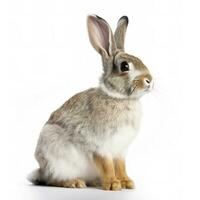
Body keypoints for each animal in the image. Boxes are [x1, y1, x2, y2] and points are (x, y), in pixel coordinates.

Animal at [27, 14, 153, 191]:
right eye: (124, 66)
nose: (150, 80)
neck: (118, 98)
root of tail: (41, 170)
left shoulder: (121, 151)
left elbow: (121, 166)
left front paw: (127, 182)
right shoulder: (99, 146)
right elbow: (107, 165)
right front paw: (113, 184)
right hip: (56, 156)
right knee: (53, 179)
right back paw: (74, 182)